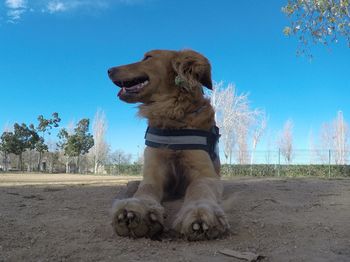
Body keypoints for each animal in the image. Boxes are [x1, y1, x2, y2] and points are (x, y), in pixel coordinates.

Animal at [109, 50, 230, 241]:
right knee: (132, 185)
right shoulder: (154, 170)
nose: (109, 70)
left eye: (148, 57)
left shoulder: (206, 174)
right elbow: (146, 187)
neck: (172, 115)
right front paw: (137, 208)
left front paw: (200, 213)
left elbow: (199, 188)